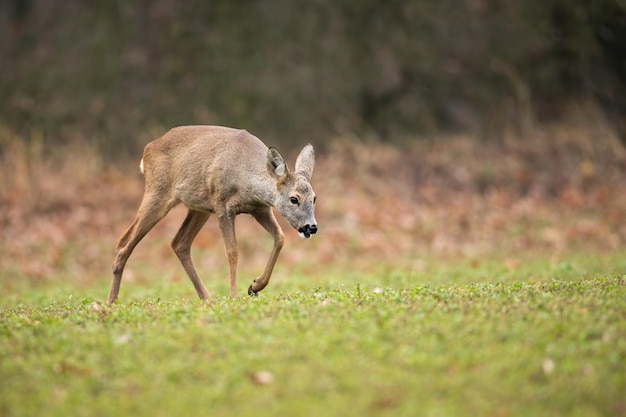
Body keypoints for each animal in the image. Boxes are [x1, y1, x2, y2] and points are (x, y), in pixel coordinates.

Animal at [105, 125, 316, 304]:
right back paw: (111, 301)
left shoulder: (260, 209)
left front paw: (255, 286)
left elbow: (280, 237)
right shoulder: (223, 205)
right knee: (124, 242)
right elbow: (232, 251)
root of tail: (147, 150)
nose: (311, 227)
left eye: (314, 198)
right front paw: (234, 296)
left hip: (199, 207)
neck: (246, 178)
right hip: (158, 193)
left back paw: (207, 298)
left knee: (179, 243)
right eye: (294, 199)